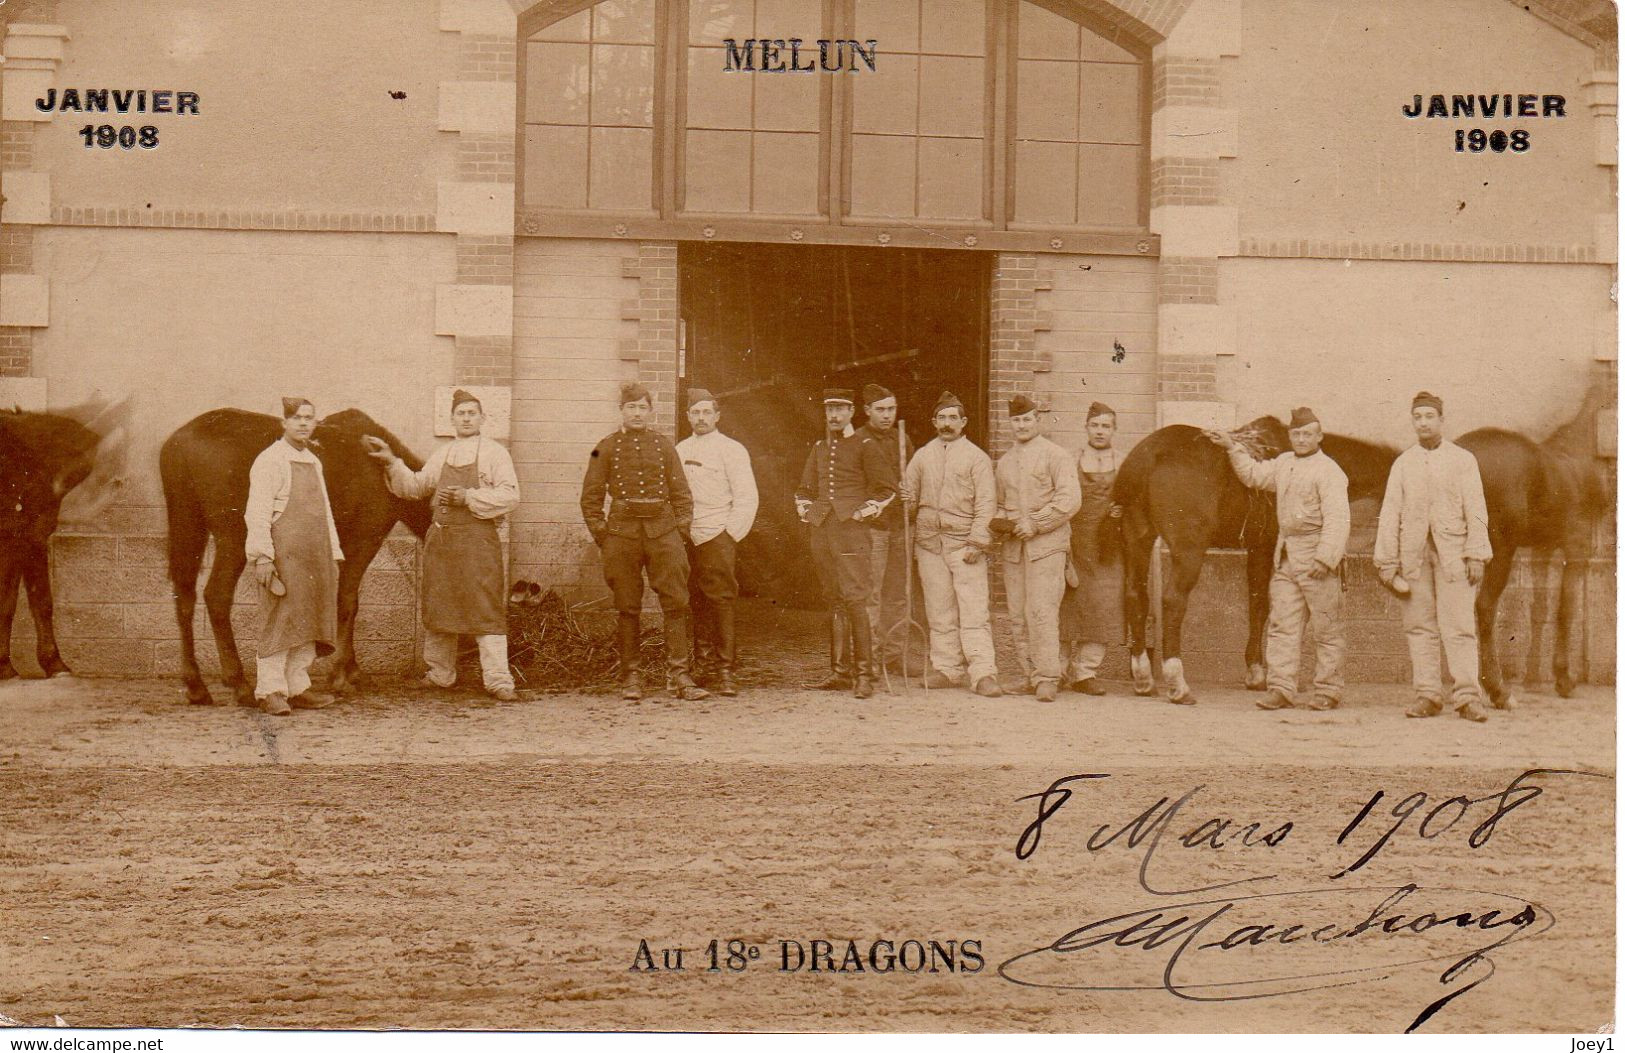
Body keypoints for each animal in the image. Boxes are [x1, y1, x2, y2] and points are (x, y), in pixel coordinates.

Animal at [161, 407, 432, 702]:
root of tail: (177, 444)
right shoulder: (364, 540)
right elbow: (348, 603)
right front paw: (343, 674)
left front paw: (350, 670)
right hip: (233, 537)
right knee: (217, 596)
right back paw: (239, 682)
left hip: (188, 525)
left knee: (185, 596)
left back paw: (196, 685)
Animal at [1118, 416, 1397, 702]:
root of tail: (1149, 455)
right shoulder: (1265, 548)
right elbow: (1262, 606)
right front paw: (1260, 673)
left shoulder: (1255, 549)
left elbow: (1257, 605)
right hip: (1188, 551)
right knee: (1173, 601)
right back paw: (1178, 683)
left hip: (1138, 541)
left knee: (1135, 598)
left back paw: (1143, 678)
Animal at [1462, 393, 1612, 708]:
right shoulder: (1576, 546)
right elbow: (1566, 607)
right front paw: (1563, 678)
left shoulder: (1542, 550)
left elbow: (1540, 608)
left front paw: (1535, 677)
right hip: (1500, 550)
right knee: (1484, 607)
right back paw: (1497, 689)